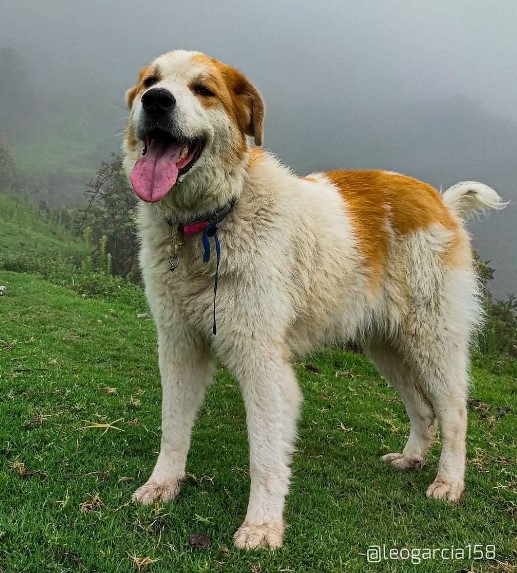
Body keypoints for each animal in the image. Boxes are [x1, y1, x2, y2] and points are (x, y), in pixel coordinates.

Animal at [122, 50, 504, 548]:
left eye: (203, 90)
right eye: (151, 81)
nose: (156, 101)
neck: (213, 221)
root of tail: (441, 201)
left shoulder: (263, 363)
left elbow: (265, 455)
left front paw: (262, 525)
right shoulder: (178, 345)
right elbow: (172, 427)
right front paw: (162, 484)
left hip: (433, 341)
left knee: (455, 413)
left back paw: (449, 482)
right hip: (385, 345)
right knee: (423, 409)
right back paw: (411, 458)